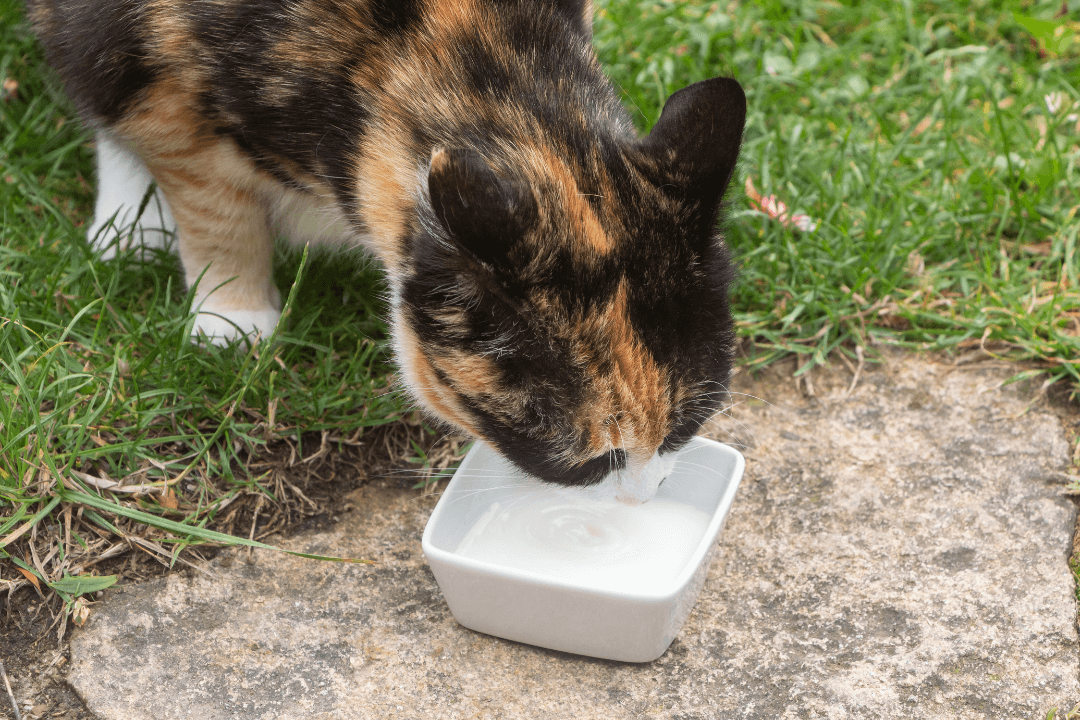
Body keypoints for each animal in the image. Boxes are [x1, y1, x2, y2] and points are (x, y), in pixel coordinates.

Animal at [29, 0, 747, 507]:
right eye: (592, 460)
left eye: (683, 428)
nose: (642, 497)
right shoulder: (151, 45)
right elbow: (208, 194)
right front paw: (231, 317)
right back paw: (131, 223)